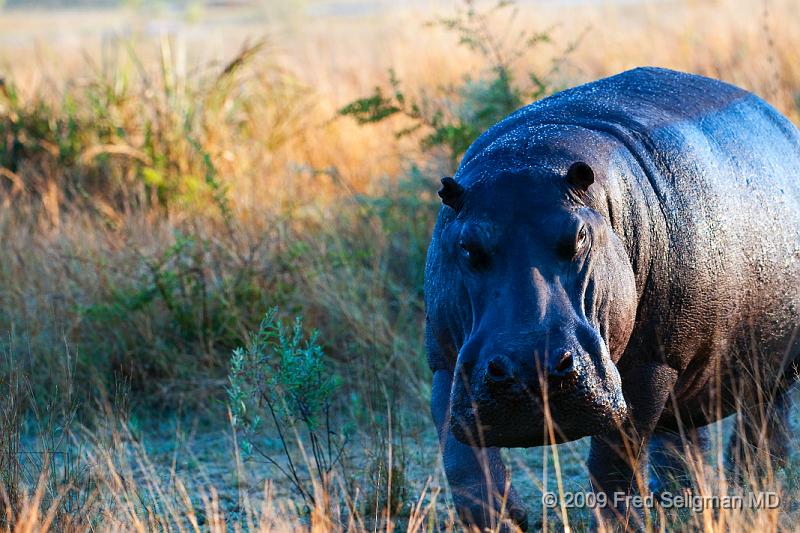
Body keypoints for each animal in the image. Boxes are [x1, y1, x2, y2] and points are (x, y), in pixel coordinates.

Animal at [428, 68, 800, 528]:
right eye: (466, 246)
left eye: (579, 236)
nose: (531, 369)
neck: (528, 157)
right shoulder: (446, 366)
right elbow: (465, 466)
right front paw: (503, 521)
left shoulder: (649, 366)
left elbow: (613, 462)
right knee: (684, 437)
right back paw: (674, 499)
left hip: (763, 363)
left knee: (763, 425)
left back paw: (752, 488)